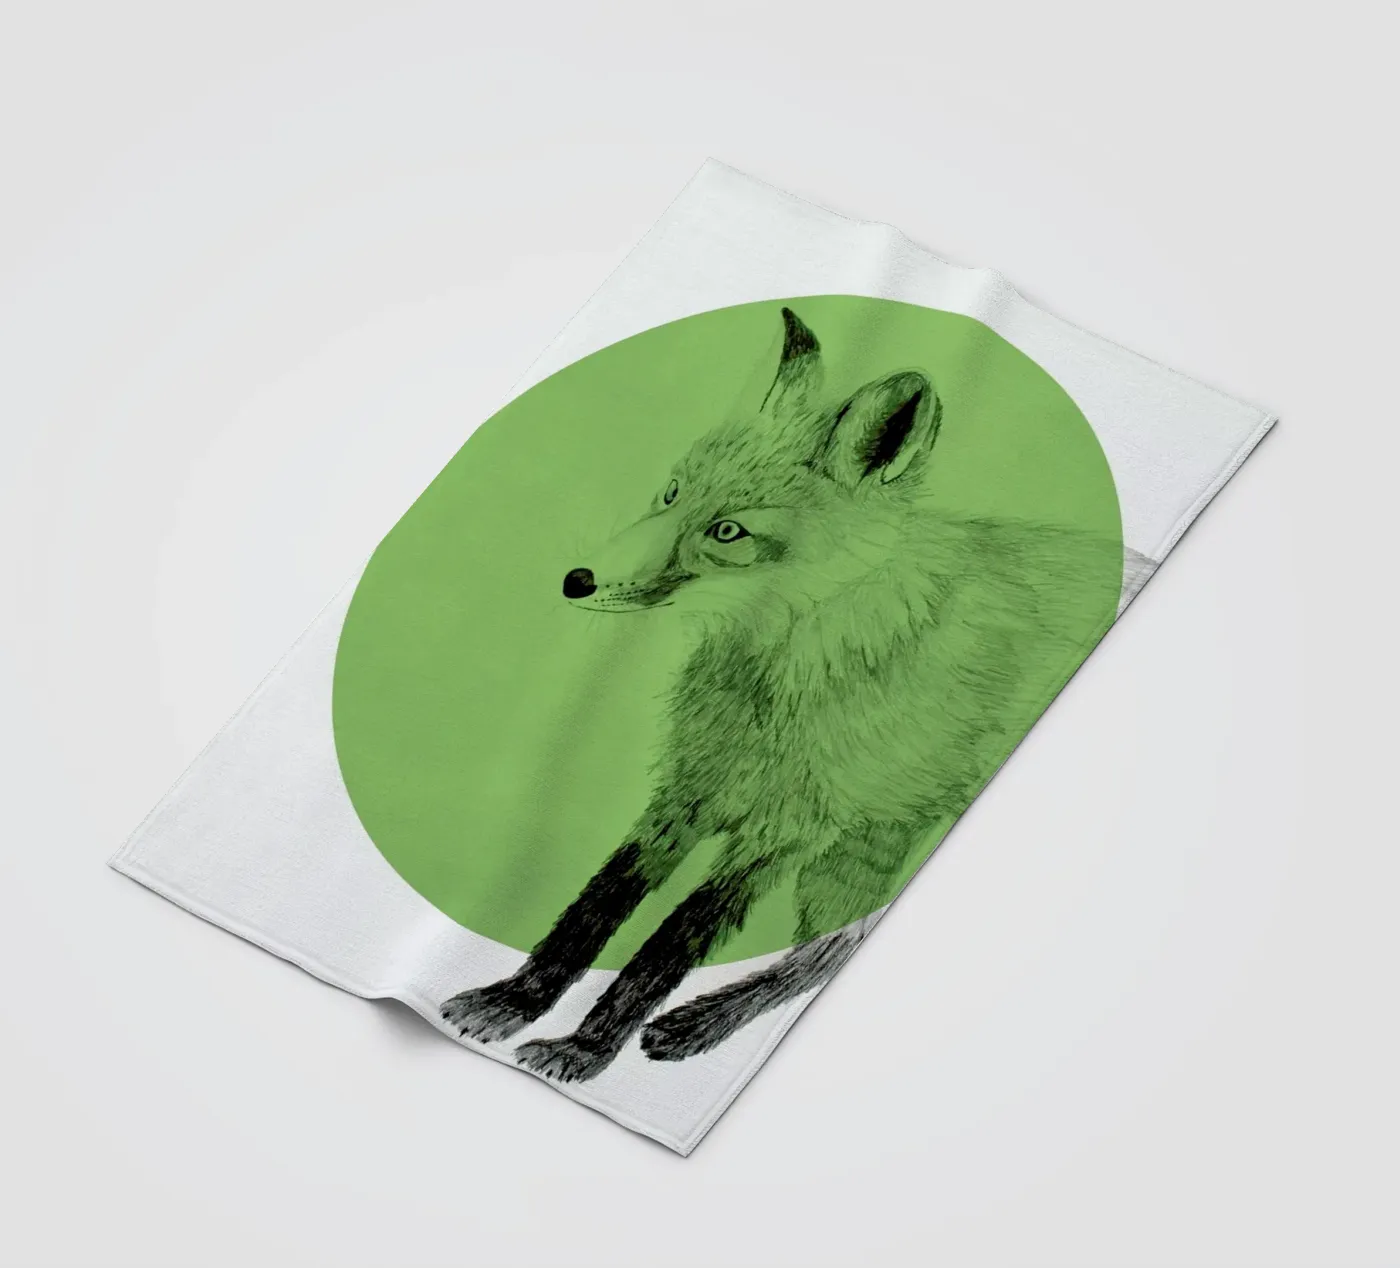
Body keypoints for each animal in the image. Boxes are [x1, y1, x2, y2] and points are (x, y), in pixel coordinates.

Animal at [441, 305, 1150, 1083]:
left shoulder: (785, 830)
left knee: (830, 949)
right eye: (673, 492)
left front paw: (586, 1049)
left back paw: (697, 1024)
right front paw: (512, 1002)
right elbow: (595, 908)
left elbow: (668, 946)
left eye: (728, 531)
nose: (577, 581)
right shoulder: (687, 794)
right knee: (825, 949)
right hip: (860, 853)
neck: (772, 692)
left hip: (860, 849)